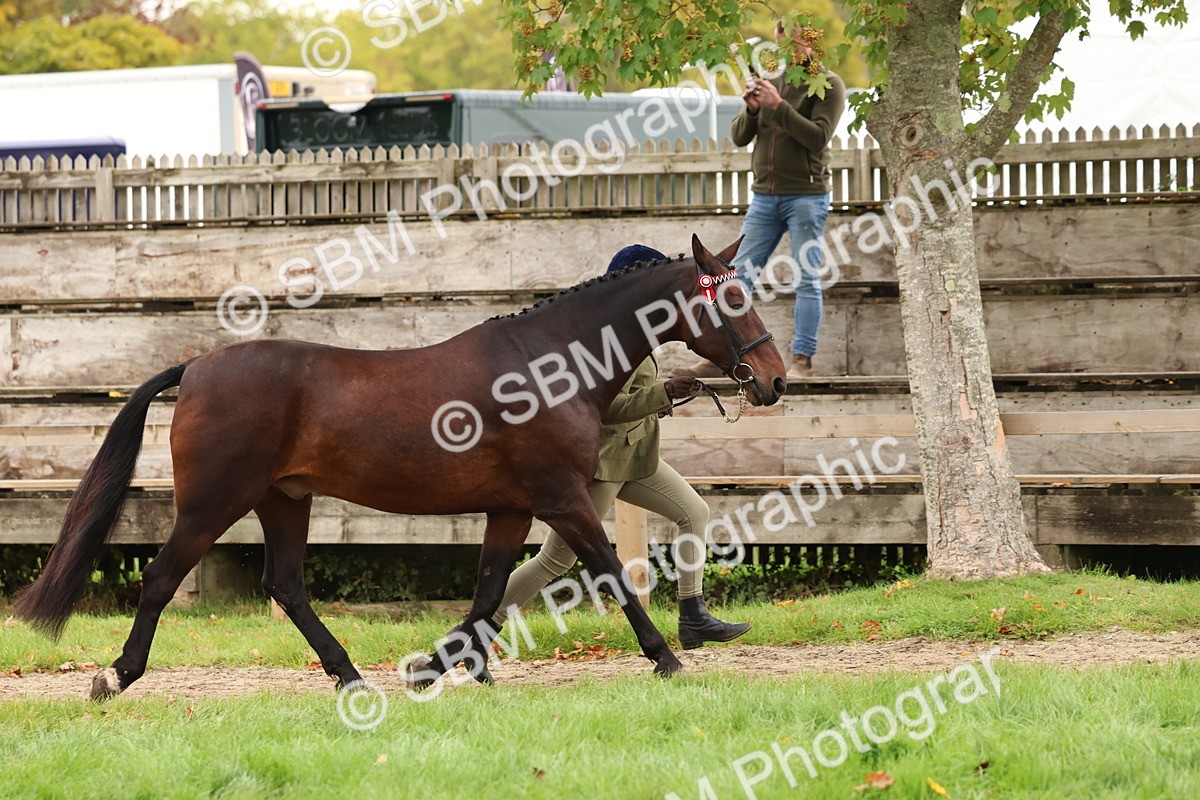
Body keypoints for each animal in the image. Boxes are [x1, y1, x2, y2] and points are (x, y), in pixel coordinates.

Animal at [16, 234, 787, 699]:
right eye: (731, 298)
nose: (774, 381)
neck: (549, 363)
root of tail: (198, 366)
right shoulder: (562, 498)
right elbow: (607, 574)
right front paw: (667, 657)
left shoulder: (512, 507)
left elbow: (488, 591)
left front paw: (443, 669)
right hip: (213, 503)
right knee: (160, 578)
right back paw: (116, 675)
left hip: (284, 499)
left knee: (286, 585)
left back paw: (351, 677)